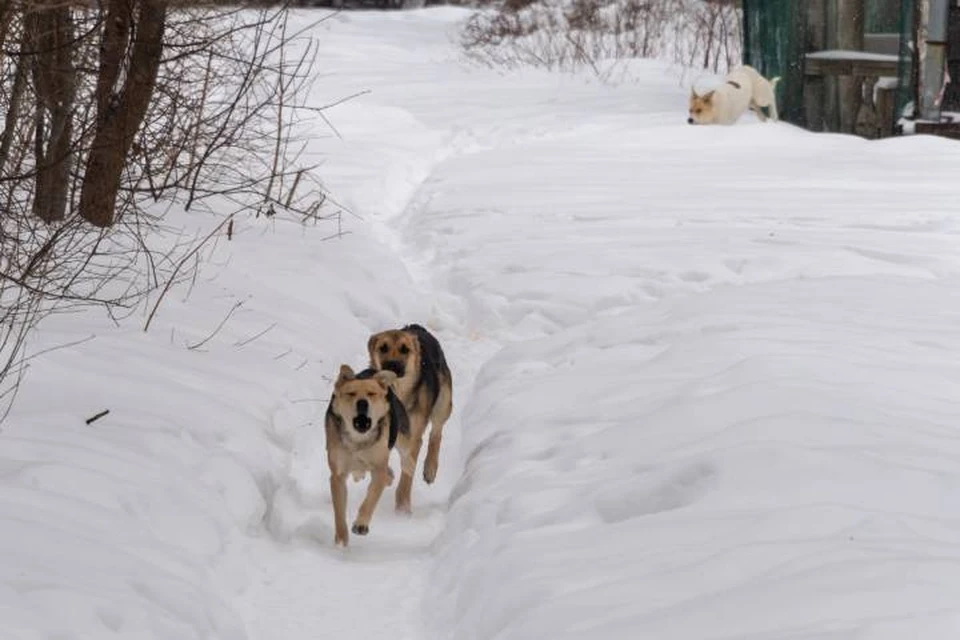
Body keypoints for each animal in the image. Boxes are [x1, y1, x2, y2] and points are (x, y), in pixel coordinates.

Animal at [326, 364, 408, 544]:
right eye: (351, 393)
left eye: (371, 394)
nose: (362, 403)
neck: (358, 440)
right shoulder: (337, 474)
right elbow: (339, 510)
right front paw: (341, 541)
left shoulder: (378, 467)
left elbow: (370, 499)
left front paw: (360, 524)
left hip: (402, 440)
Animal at [372, 322, 454, 512]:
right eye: (383, 348)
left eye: (405, 349)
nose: (392, 365)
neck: (399, 392)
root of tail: (417, 327)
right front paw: (387, 476)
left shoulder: (413, 437)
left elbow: (407, 473)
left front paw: (403, 507)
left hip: (443, 402)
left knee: (436, 433)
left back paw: (430, 468)